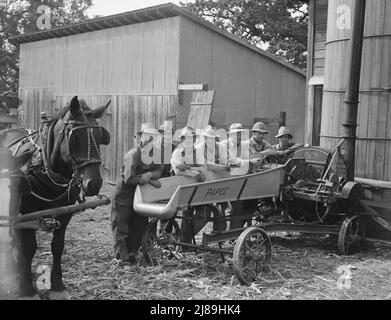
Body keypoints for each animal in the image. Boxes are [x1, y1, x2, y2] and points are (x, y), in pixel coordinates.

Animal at [0, 95, 110, 300]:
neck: (44, 167)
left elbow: (57, 246)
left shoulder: (64, 213)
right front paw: (27, 289)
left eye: (101, 136)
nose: (94, 183)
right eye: (75, 137)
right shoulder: (26, 212)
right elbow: (29, 247)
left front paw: (58, 285)